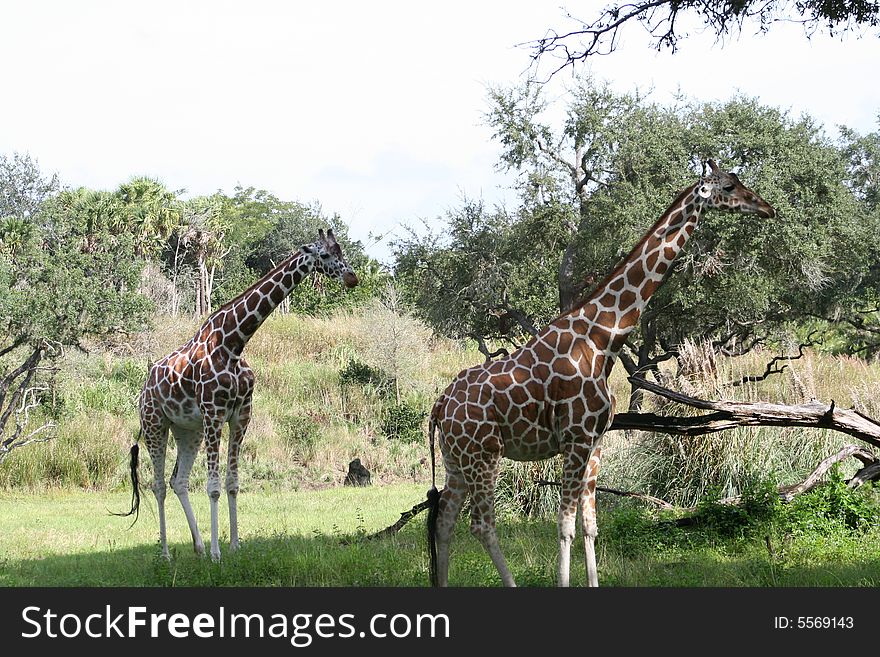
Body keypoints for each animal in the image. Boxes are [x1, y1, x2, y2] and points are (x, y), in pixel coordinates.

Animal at [117, 227, 358, 560]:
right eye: (324, 254)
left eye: (341, 251)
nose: (352, 278)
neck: (233, 344)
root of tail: (143, 389)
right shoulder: (214, 413)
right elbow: (214, 486)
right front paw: (218, 553)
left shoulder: (241, 414)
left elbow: (232, 483)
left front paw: (233, 545)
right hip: (156, 424)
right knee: (158, 485)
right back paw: (166, 553)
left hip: (188, 430)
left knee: (178, 481)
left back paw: (198, 546)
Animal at [426, 161, 776, 588]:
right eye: (728, 186)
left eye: (739, 181)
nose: (767, 208)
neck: (602, 340)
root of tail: (440, 406)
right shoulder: (575, 440)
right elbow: (564, 526)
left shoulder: (595, 443)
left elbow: (590, 525)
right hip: (484, 455)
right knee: (481, 524)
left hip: (456, 459)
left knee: (444, 521)